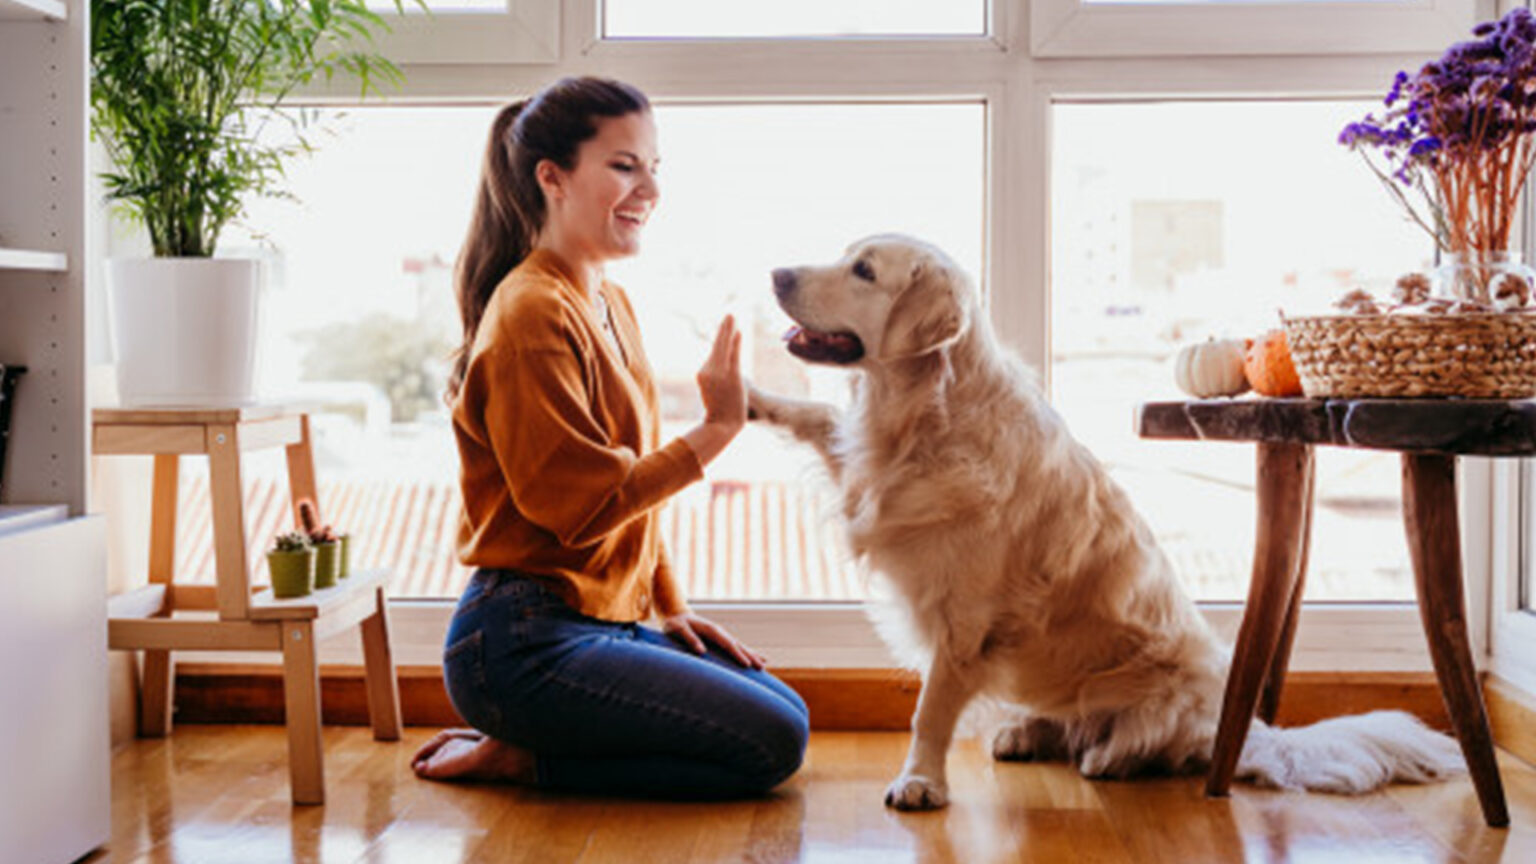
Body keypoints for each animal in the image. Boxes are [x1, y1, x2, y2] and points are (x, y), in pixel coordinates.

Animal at [749, 232, 1468, 805]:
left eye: (864, 271)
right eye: (846, 256)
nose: (776, 273)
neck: (924, 414)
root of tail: (1246, 730)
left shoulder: (965, 623)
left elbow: (930, 711)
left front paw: (921, 781)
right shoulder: (865, 472)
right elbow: (816, 416)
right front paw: (747, 395)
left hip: (1163, 692)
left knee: (1151, 746)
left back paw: (1109, 758)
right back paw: (1024, 732)